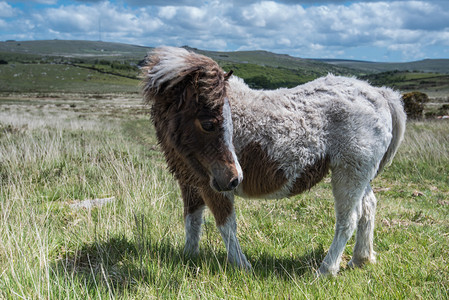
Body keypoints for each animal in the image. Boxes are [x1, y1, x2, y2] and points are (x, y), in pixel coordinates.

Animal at [141, 47, 406, 276]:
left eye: (222, 120)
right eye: (208, 123)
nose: (235, 178)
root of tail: (381, 94)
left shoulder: (212, 186)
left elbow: (226, 225)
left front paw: (241, 266)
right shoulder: (190, 182)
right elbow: (192, 220)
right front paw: (188, 257)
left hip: (349, 173)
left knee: (348, 220)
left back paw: (325, 270)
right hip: (361, 174)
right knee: (368, 208)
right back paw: (361, 259)